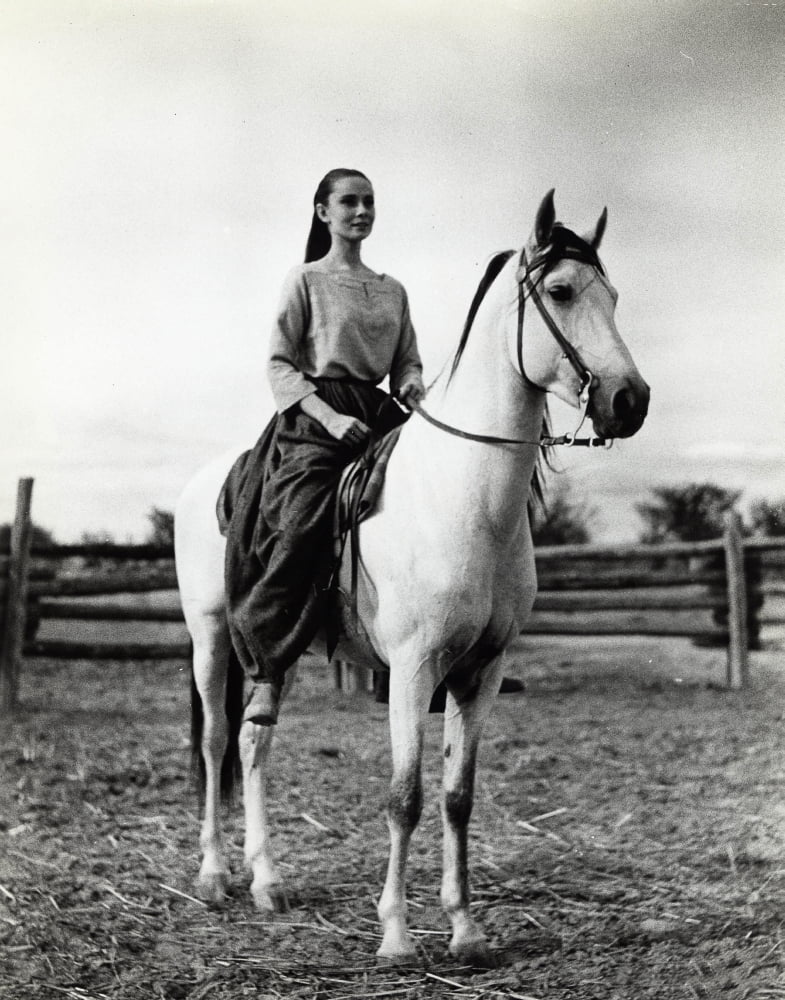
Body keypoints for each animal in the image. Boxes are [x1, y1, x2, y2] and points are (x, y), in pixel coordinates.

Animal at [174, 190, 650, 966]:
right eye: (560, 291)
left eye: (613, 296)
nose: (629, 400)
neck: (467, 498)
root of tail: (204, 483)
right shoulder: (412, 667)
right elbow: (406, 797)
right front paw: (396, 934)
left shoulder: (481, 671)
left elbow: (458, 796)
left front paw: (465, 928)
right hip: (213, 638)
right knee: (217, 741)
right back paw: (215, 874)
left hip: (281, 647)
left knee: (253, 742)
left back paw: (267, 880)